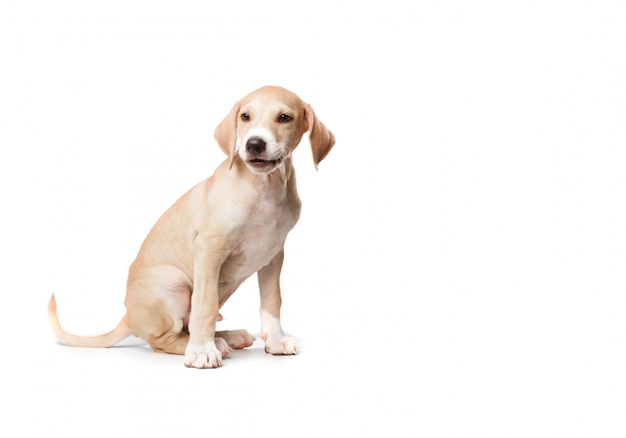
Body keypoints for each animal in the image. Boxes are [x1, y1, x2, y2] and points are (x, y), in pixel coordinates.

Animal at [48, 85, 334, 366]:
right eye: (245, 117)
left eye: (284, 117)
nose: (254, 144)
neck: (265, 188)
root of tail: (129, 316)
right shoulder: (209, 249)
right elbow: (205, 304)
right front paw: (202, 351)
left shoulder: (273, 254)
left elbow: (272, 300)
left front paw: (275, 341)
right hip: (173, 284)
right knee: (162, 341)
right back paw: (211, 343)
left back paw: (228, 336)